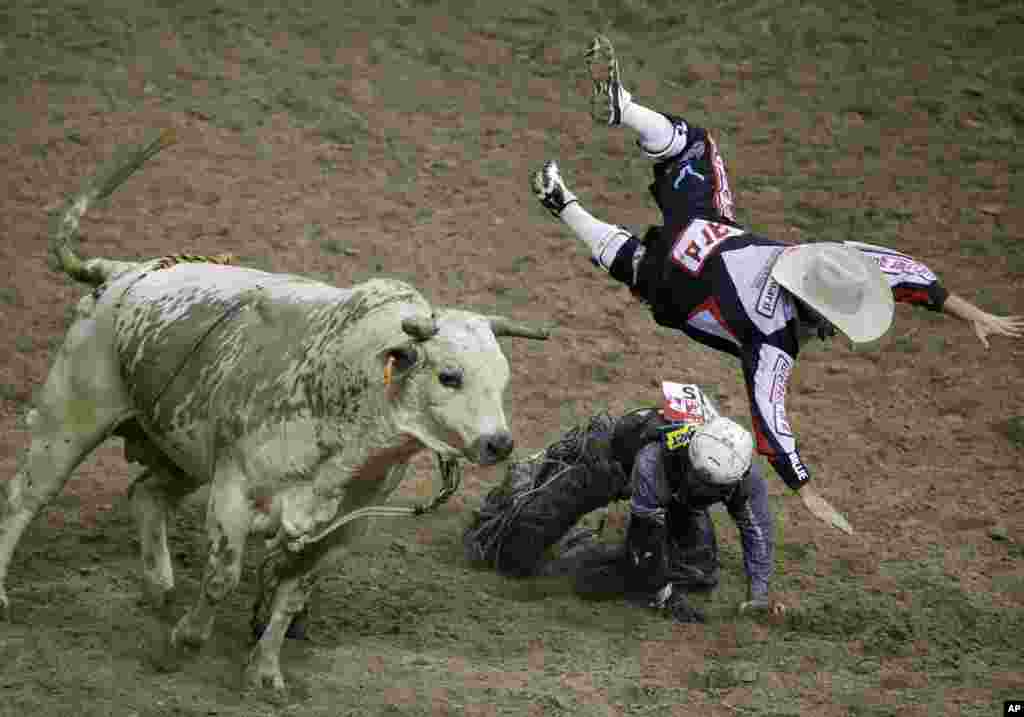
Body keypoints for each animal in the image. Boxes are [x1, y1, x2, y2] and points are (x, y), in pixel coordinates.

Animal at [0, 132, 552, 692]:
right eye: (449, 375)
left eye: (503, 379)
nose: (499, 443)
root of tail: (120, 272)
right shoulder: (235, 490)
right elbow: (222, 576)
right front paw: (185, 641)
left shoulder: (339, 532)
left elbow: (291, 597)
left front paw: (264, 671)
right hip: (70, 419)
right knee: (26, 496)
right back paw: (8, 591)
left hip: (179, 449)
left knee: (147, 494)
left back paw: (161, 588)